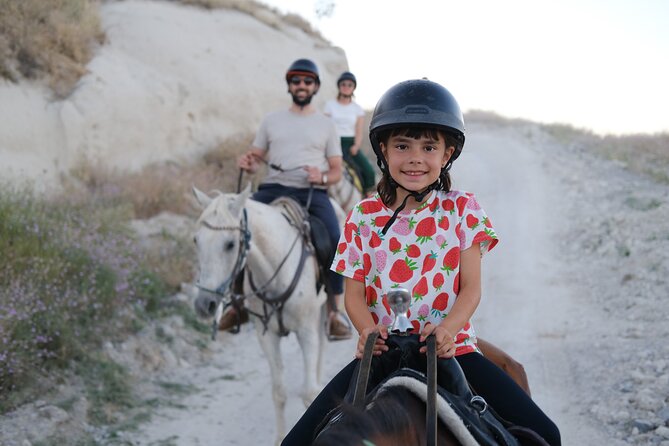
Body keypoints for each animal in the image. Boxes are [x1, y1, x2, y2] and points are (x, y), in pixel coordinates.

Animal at [190, 184, 326, 442]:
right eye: (196, 241)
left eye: (230, 244)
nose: (204, 304)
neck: (276, 271)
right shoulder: (267, 336)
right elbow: (279, 392)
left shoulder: (306, 330)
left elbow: (310, 394)